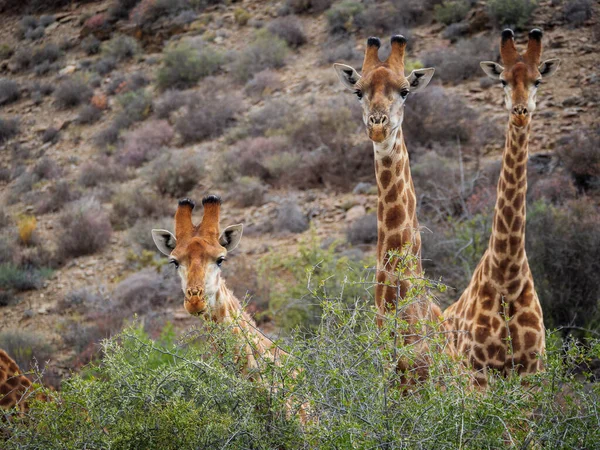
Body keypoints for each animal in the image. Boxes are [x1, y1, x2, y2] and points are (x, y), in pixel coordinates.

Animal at [442, 28, 560, 386]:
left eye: (538, 80)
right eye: (503, 81)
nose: (520, 112)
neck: (507, 275)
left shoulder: (533, 372)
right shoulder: (479, 372)